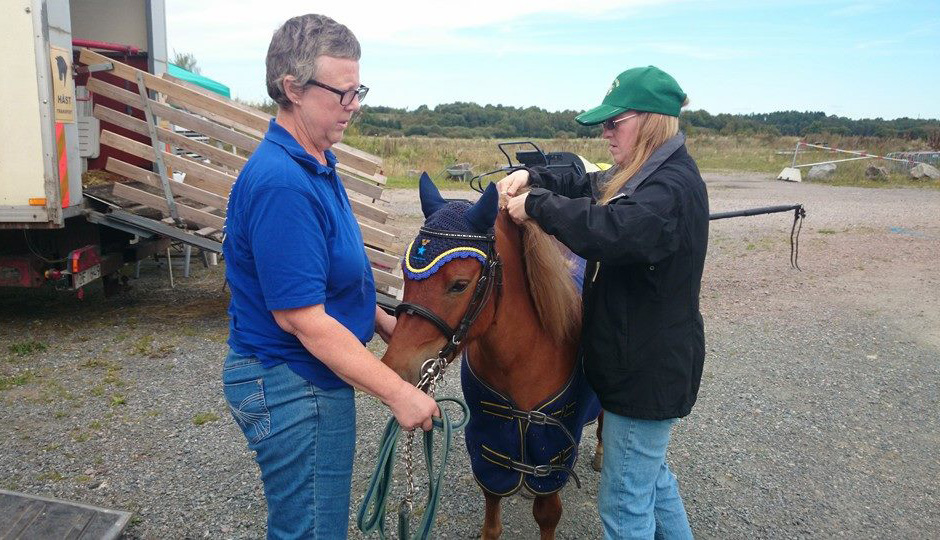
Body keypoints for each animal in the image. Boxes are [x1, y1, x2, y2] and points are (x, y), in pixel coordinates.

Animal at [378, 175, 600, 536]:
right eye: (405, 274)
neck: (522, 358)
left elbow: (548, 514)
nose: (396, 370)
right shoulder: (490, 440)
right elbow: (492, 512)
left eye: (459, 284)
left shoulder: (555, 451)